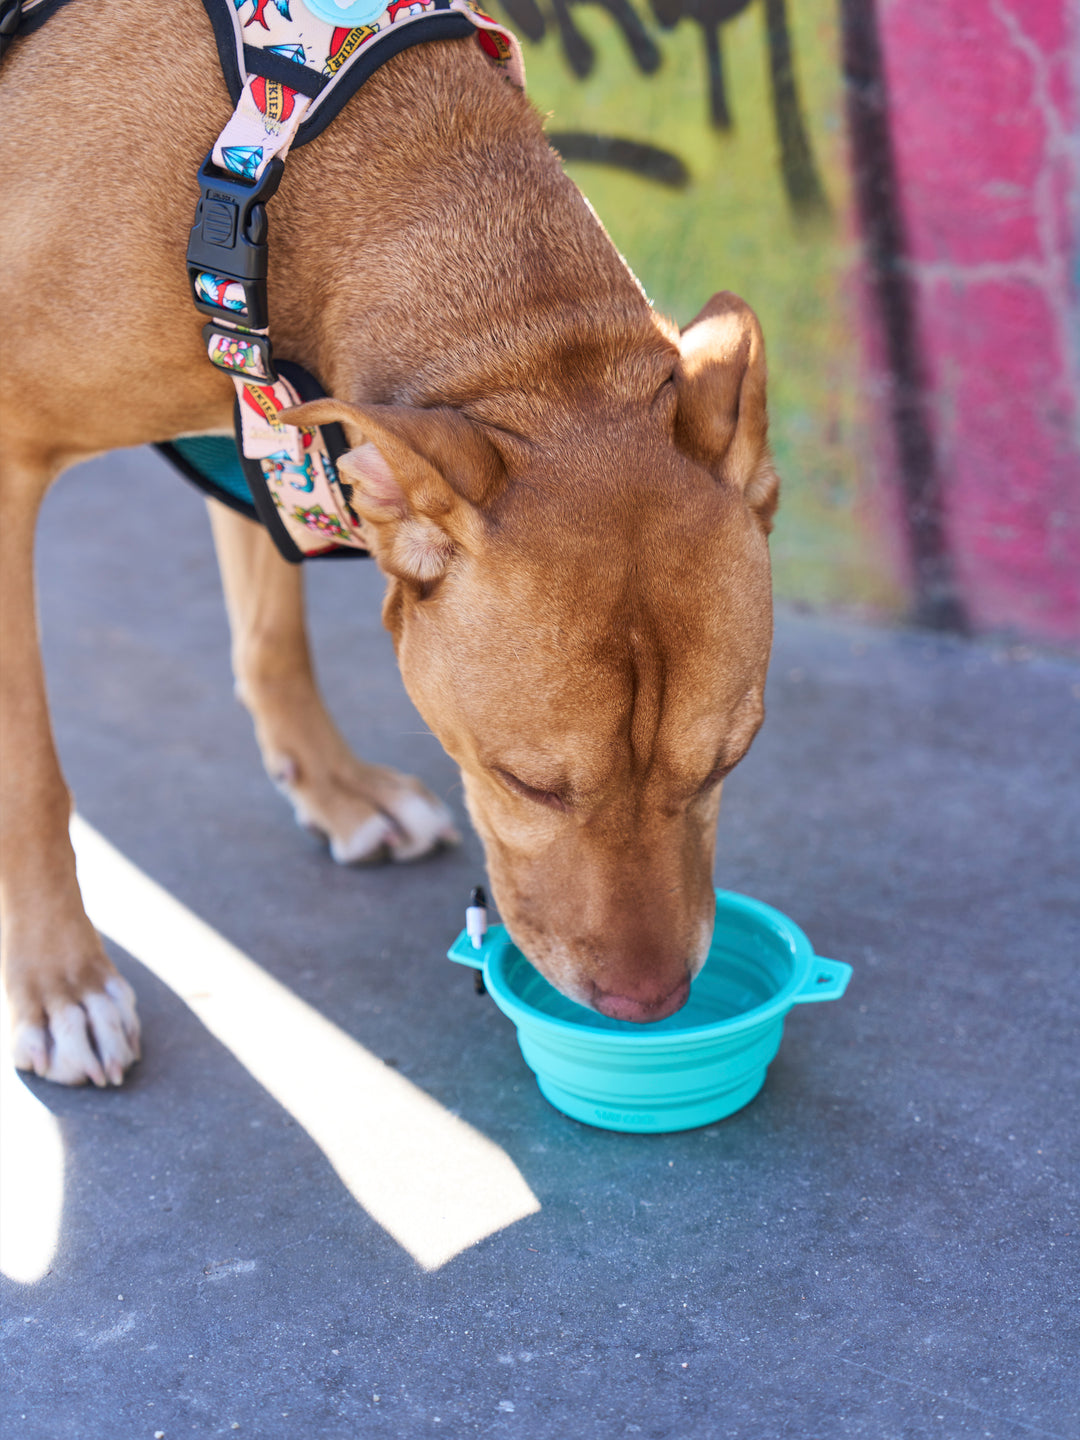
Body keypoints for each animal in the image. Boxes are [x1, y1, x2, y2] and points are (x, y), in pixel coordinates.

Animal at [0, 0, 777, 1082]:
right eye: (527, 783)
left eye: (724, 766)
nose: (648, 1005)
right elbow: (29, 771)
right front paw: (61, 981)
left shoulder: (255, 404)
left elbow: (272, 636)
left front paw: (336, 791)